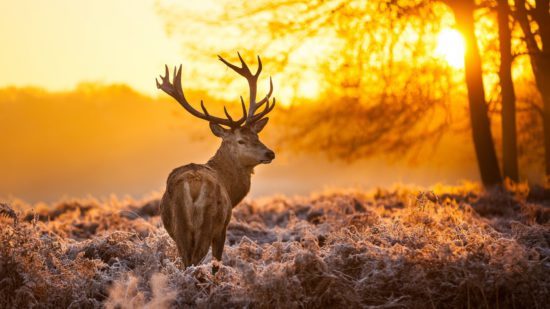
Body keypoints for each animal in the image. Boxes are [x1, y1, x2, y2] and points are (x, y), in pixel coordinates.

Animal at [155, 53, 276, 270]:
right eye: (241, 140)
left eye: (257, 135)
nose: (270, 153)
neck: (231, 188)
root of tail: (193, 185)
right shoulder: (223, 227)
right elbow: (216, 264)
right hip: (208, 223)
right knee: (195, 262)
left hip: (179, 228)